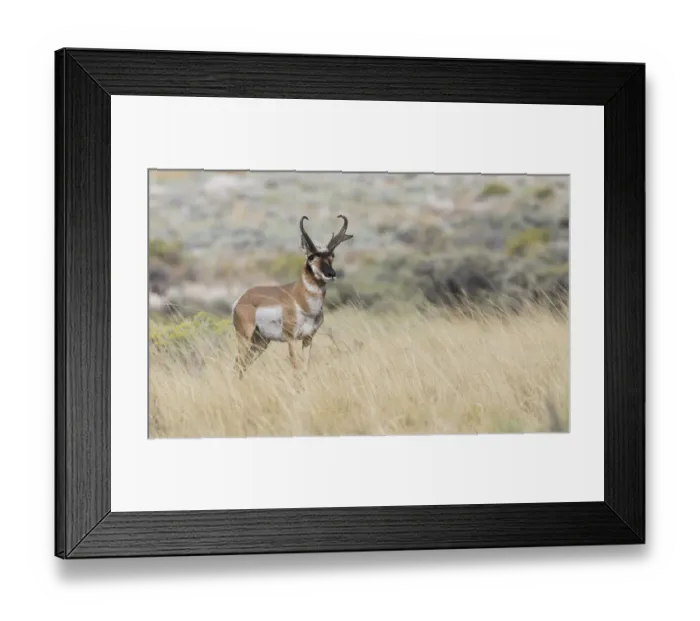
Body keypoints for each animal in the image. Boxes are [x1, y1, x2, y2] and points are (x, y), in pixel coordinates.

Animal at [231, 215, 354, 377]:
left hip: (261, 342)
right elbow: (296, 369)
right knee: (237, 365)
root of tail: (242, 298)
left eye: (332, 255)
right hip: (245, 338)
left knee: (243, 365)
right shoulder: (292, 340)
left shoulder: (308, 339)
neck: (302, 302)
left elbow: (305, 369)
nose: (331, 274)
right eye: (311, 256)